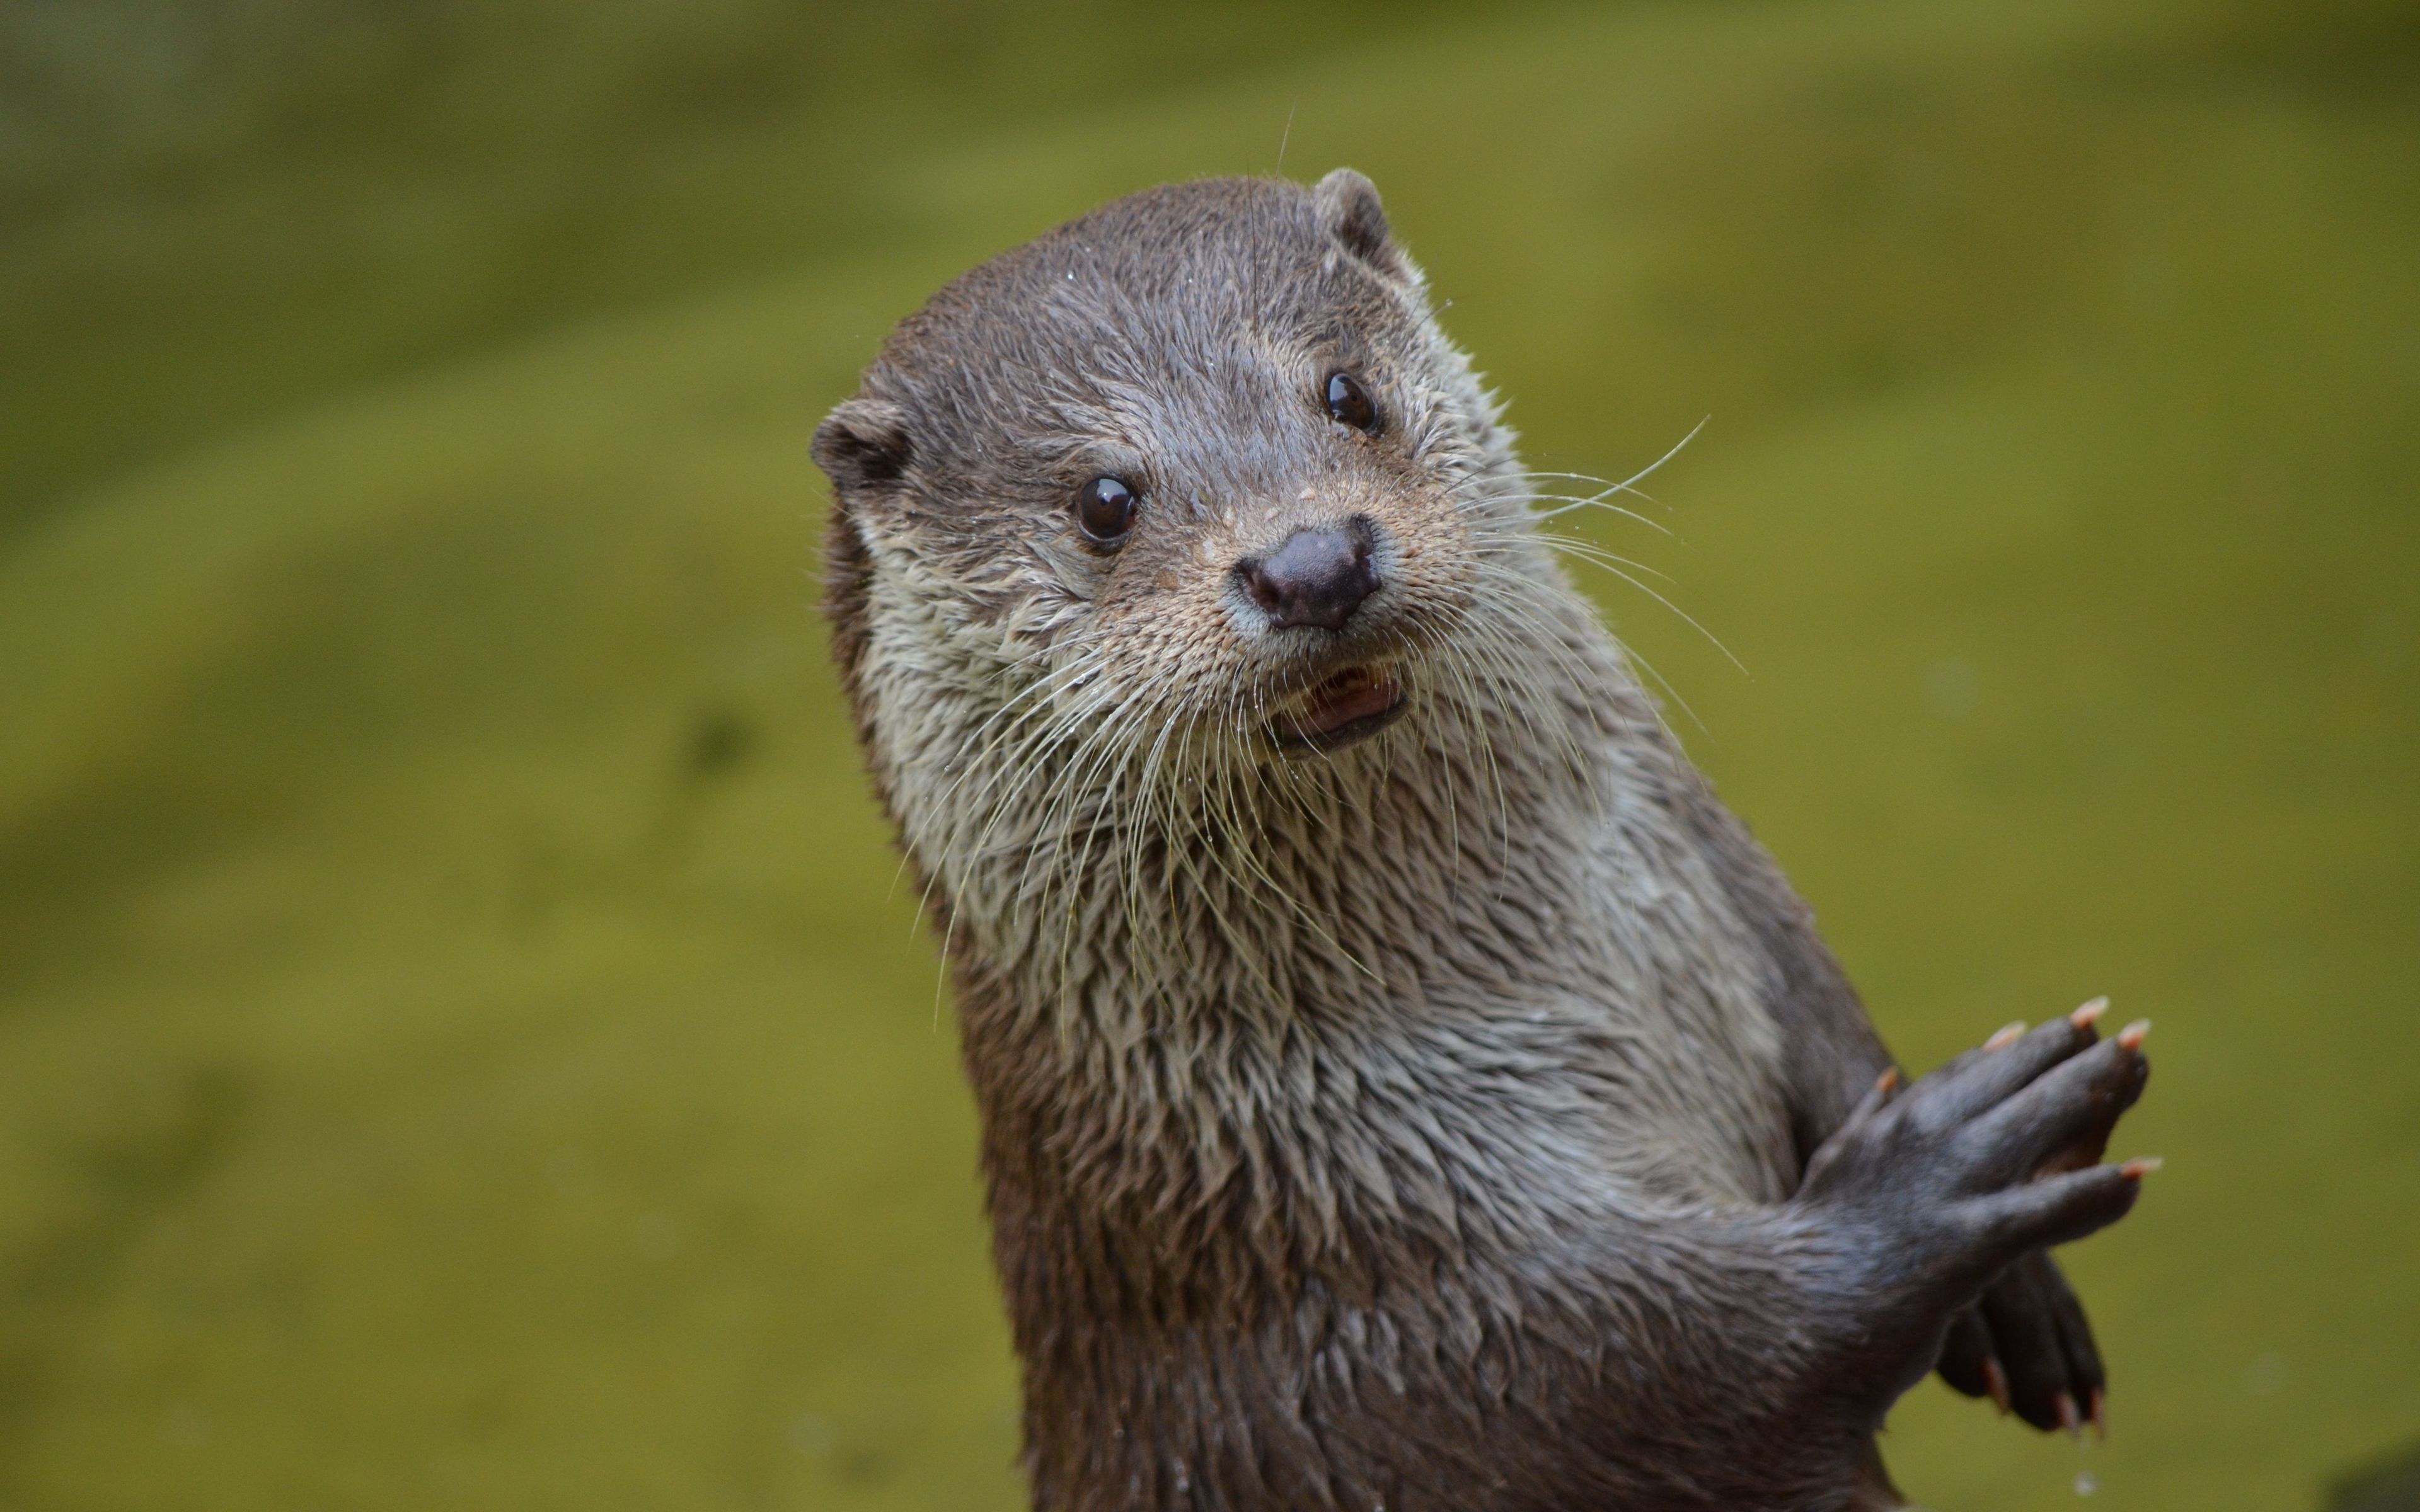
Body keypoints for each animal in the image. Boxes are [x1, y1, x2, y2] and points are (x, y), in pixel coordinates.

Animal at [812, 171, 2153, 1512]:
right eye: (1104, 501)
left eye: (1346, 393)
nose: (1312, 559)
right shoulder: (1376, 1314)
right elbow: (1671, 1369)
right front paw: (1944, 1178)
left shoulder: (1727, 891)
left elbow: (1821, 1004)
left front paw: (2018, 1297)